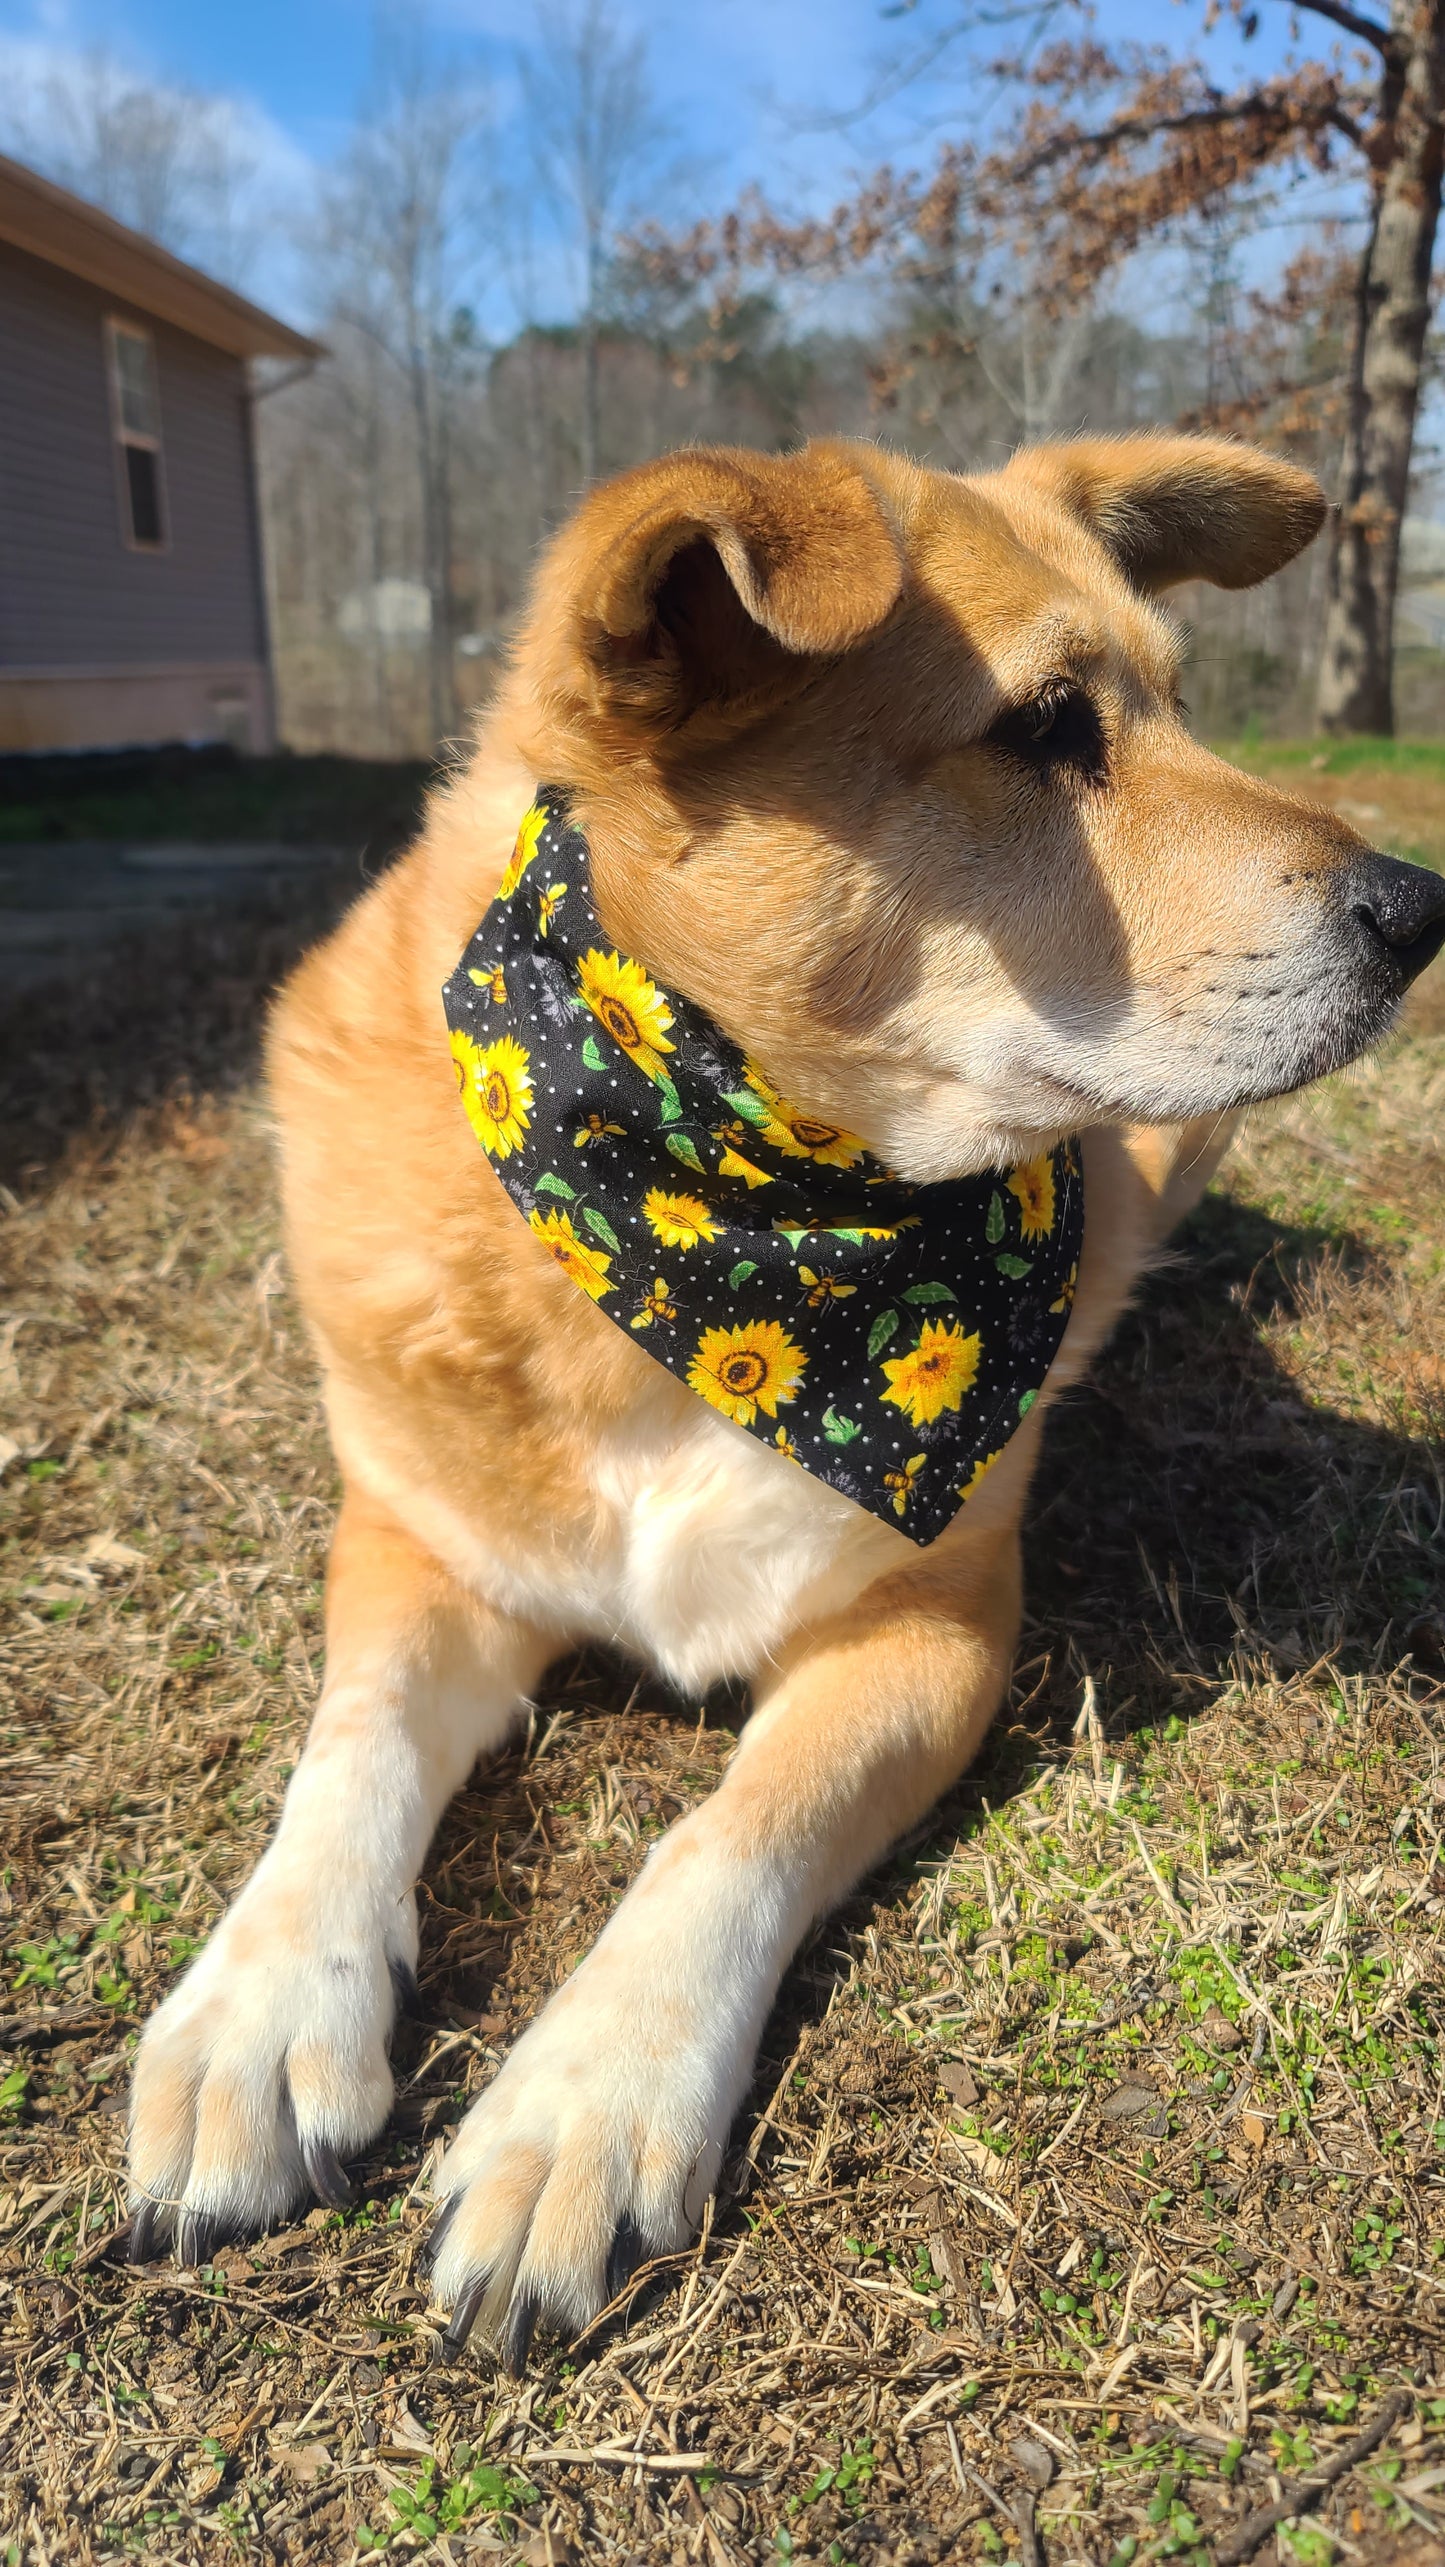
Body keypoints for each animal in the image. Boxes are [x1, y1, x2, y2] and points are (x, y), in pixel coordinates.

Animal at [127, 426, 1445, 2361]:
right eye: (1046, 725)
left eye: (1183, 706)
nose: (1425, 908)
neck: (722, 1222)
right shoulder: (413, 1539)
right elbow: (348, 1751)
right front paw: (255, 2002)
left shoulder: (934, 1623)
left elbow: (722, 1831)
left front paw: (582, 2101)